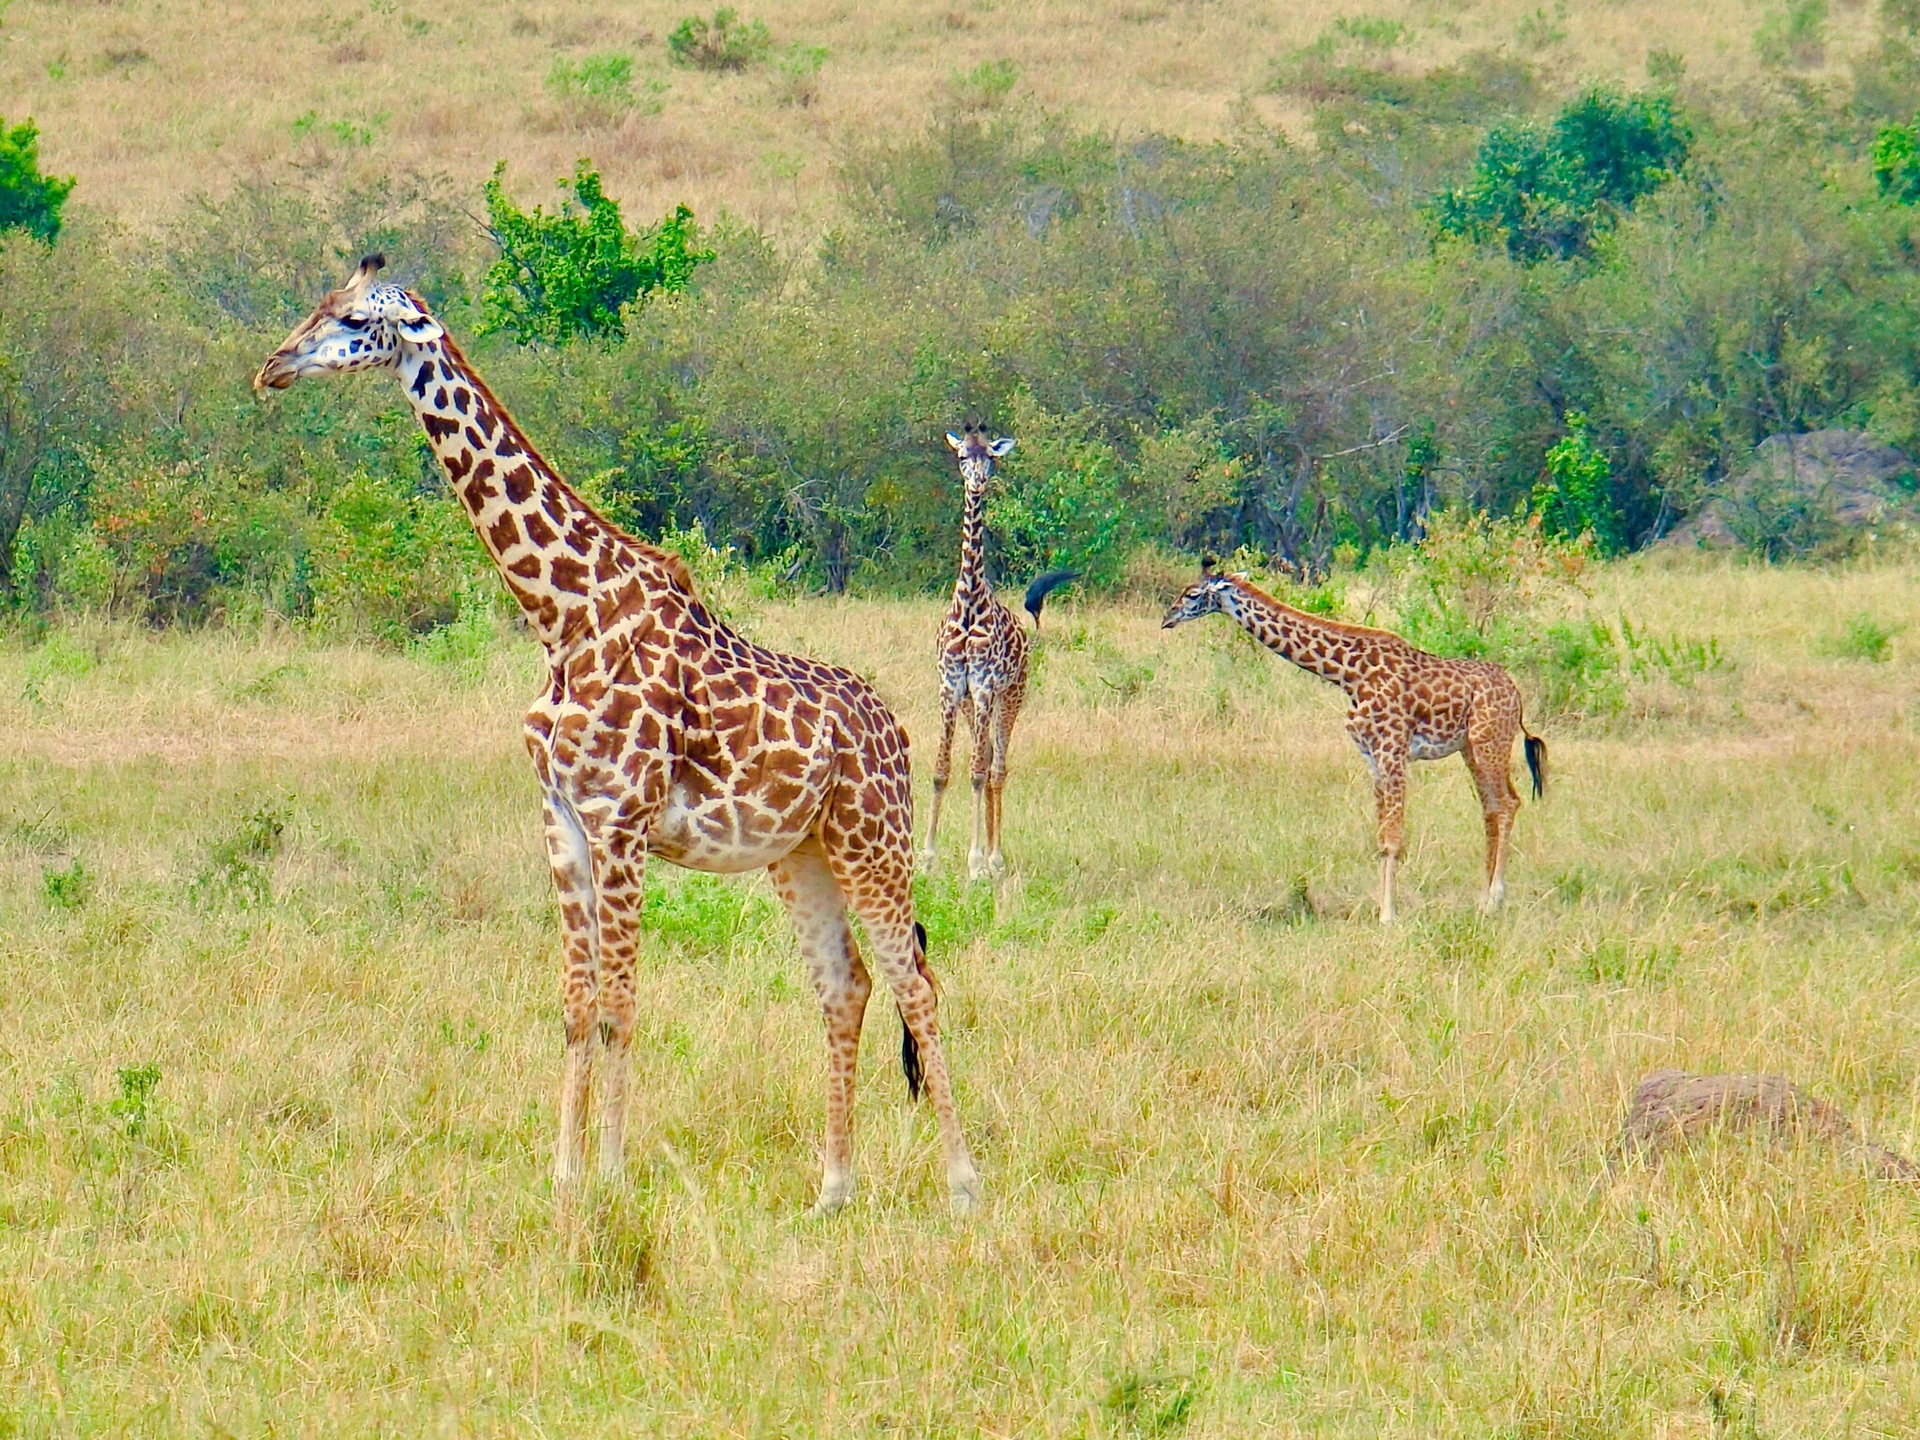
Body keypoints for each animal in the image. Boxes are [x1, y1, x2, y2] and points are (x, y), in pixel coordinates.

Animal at [255, 259, 975, 1221]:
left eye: (351, 319)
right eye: (321, 305)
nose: (273, 367)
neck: (564, 616)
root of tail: (895, 730)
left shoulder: (622, 819)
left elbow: (621, 1004)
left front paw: (615, 1174)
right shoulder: (561, 818)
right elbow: (574, 1003)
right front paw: (564, 1175)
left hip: (875, 841)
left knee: (916, 985)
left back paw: (963, 1183)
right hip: (802, 853)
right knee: (846, 986)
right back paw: (833, 1188)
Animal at [917, 422, 1075, 887]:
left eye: (990, 456)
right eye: (962, 457)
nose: (978, 482)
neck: (970, 602)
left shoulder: (986, 687)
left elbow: (975, 773)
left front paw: (974, 864)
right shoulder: (952, 688)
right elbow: (942, 770)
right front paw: (927, 859)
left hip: (1011, 697)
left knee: (998, 767)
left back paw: (995, 859)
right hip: (975, 706)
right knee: (987, 759)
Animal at [1152, 560, 1543, 925]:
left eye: (1192, 594)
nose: (1167, 618)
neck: (1347, 675)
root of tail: (1517, 695)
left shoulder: (1392, 751)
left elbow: (1393, 838)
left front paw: (1388, 916)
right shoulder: (1371, 756)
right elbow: (1381, 837)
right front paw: (1382, 910)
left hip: (1489, 742)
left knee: (1507, 804)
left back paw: (1494, 901)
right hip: (1471, 749)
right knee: (1492, 808)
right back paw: (1483, 900)